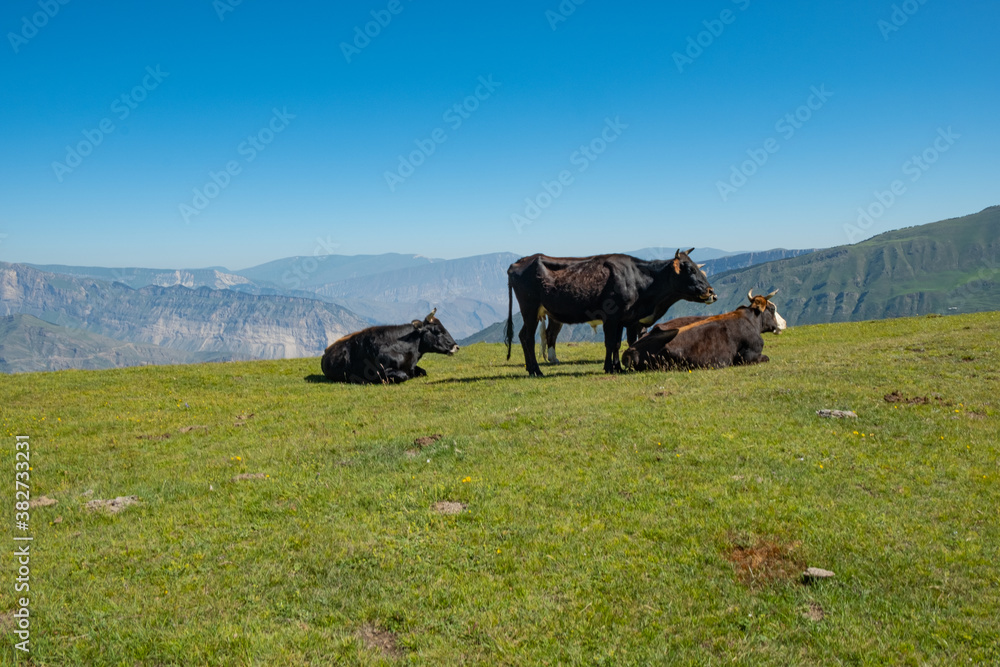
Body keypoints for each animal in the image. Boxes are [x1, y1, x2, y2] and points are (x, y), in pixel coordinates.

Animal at [321, 309, 459, 384]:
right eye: (438, 331)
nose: (456, 346)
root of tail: (327, 350)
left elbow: (423, 372)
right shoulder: (380, 372)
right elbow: (403, 376)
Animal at [504, 250, 717, 376]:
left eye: (699, 269)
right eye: (689, 269)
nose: (711, 292)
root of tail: (519, 262)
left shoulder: (625, 319)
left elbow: (617, 343)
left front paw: (618, 366)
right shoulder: (612, 317)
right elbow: (611, 343)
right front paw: (609, 368)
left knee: (525, 336)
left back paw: (532, 369)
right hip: (530, 308)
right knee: (528, 338)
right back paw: (536, 370)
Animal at [622, 290, 785, 372]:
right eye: (772, 308)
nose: (784, 323)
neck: (751, 321)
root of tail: (630, 351)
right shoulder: (747, 355)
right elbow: (766, 358)